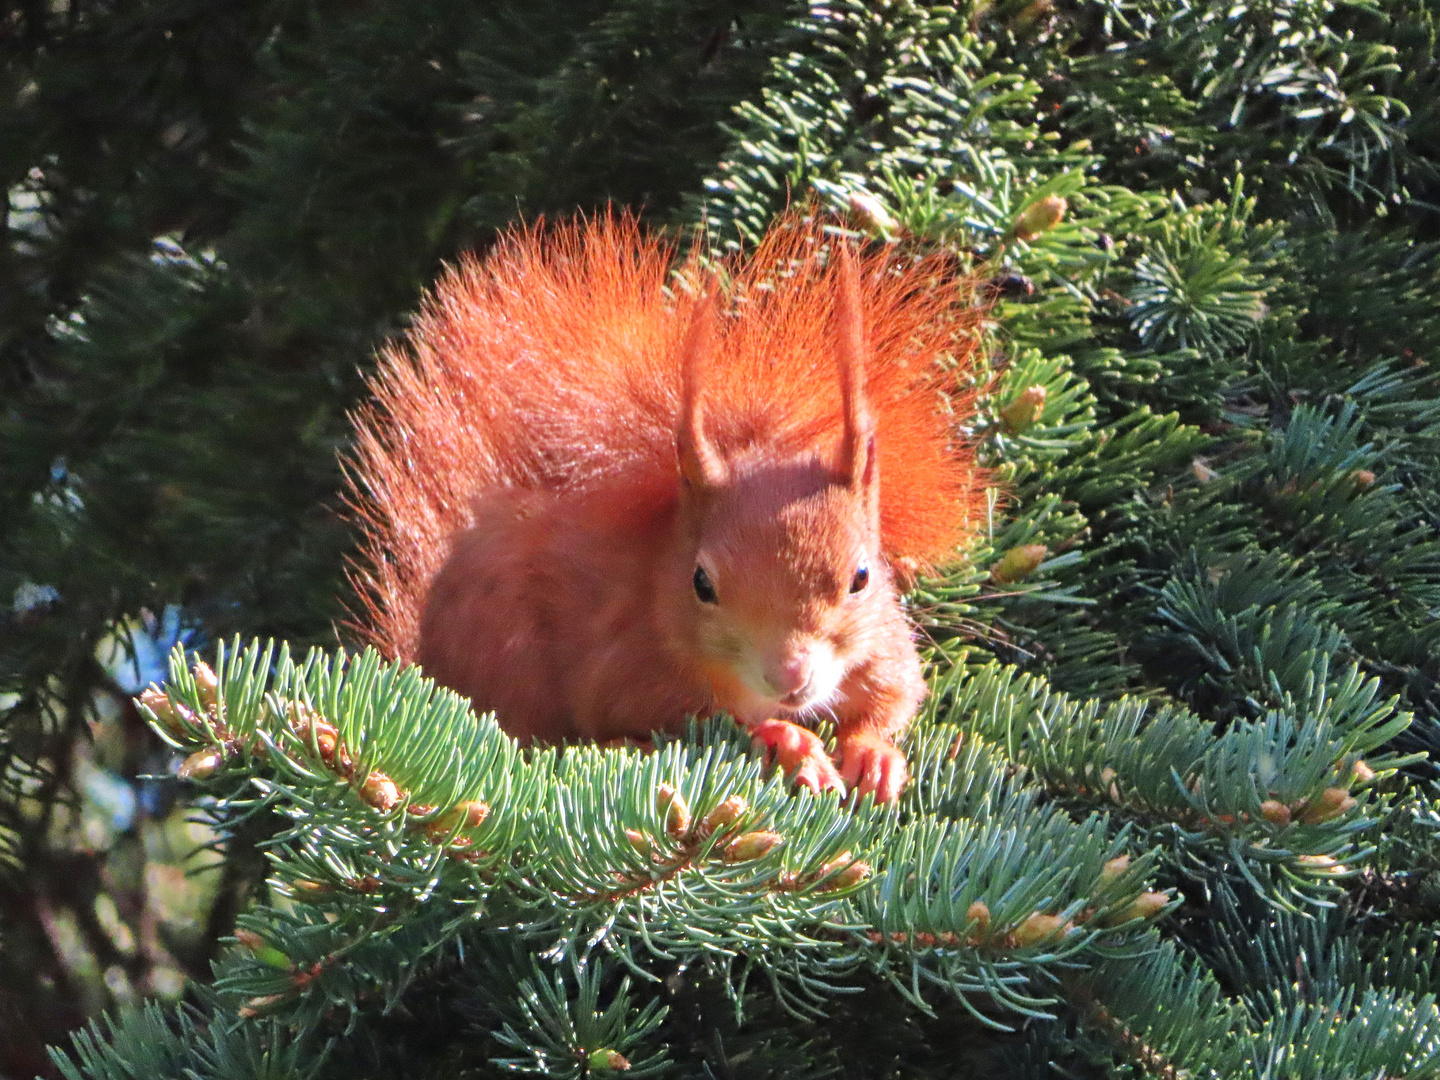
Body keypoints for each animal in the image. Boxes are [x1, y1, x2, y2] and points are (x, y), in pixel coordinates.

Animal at [344, 213, 984, 806]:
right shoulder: (631, 667)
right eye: (700, 583)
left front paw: (872, 754)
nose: (789, 676)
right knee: (547, 743)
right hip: (505, 653)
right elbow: (692, 722)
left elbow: (896, 697)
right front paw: (789, 741)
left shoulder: (883, 645)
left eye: (862, 578)